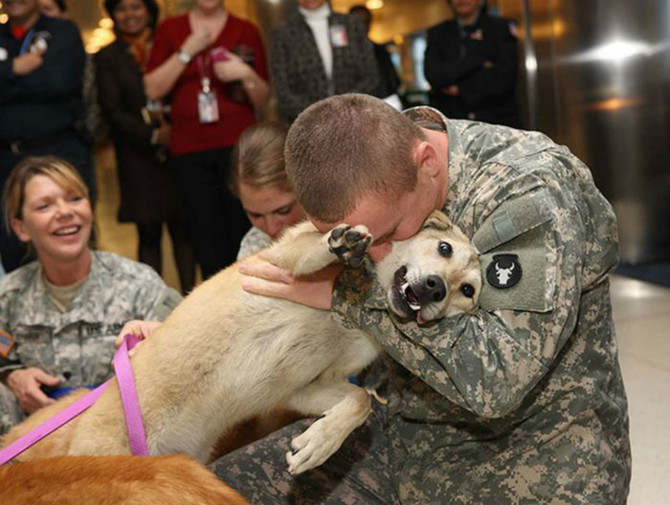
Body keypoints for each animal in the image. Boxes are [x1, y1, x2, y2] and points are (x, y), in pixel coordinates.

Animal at [1, 210, 484, 476]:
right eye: (443, 248)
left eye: (469, 291)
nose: (437, 288)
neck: (352, 313)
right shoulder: (281, 260)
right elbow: (312, 247)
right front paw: (342, 244)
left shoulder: (304, 387)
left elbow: (359, 401)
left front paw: (319, 443)